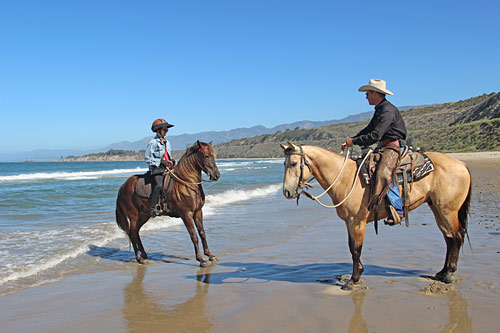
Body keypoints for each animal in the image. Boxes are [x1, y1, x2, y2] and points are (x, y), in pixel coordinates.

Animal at [284, 141, 470, 290]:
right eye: (284, 163)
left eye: (293, 163)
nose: (287, 192)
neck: (345, 178)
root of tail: (462, 164)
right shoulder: (349, 222)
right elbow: (351, 248)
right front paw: (358, 274)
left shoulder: (357, 221)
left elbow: (356, 249)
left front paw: (353, 280)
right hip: (437, 209)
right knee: (449, 238)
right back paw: (442, 273)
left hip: (448, 211)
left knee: (457, 236)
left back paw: (449, 274)